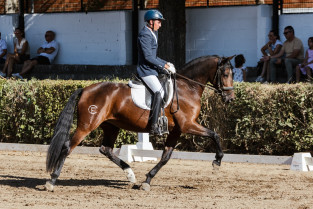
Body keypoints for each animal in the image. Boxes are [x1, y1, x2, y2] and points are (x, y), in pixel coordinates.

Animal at [44, 55, 234, 191]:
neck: (187, 87)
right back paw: (52, 181)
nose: (230, 99)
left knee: (106, 149)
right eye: (225, 74)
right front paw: (217, 162)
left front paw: (147, 180)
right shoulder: (188, 125)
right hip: (87, 125)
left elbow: (166, 157)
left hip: (111, 126)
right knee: (67, 147)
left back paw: (131, 175)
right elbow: (215, 134)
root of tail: (85, 89)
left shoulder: (176, 130)